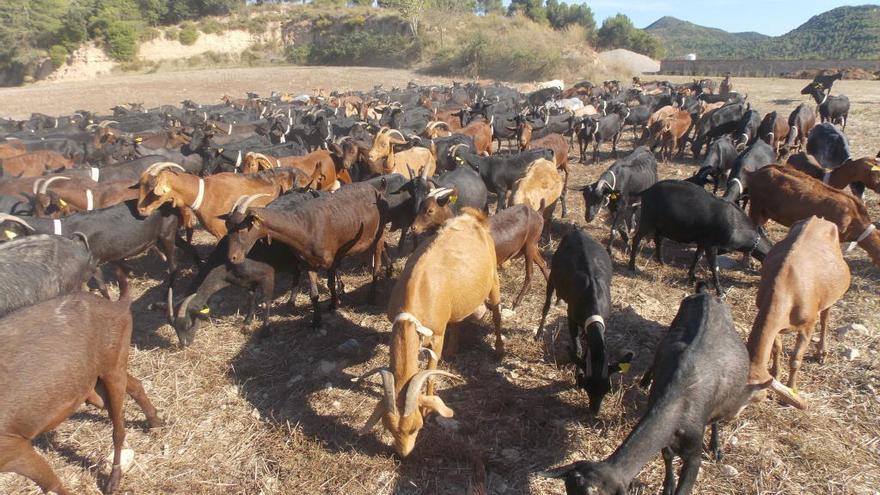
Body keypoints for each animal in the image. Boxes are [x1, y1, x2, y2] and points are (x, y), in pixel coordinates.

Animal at [0, 274, 162, 494]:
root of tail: (118, 305)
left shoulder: (14, 447)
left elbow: (52, 485)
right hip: (98, 379)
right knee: (134, 385)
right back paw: (155, 422)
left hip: (113, 366)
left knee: (118, 430)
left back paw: (113, 481)